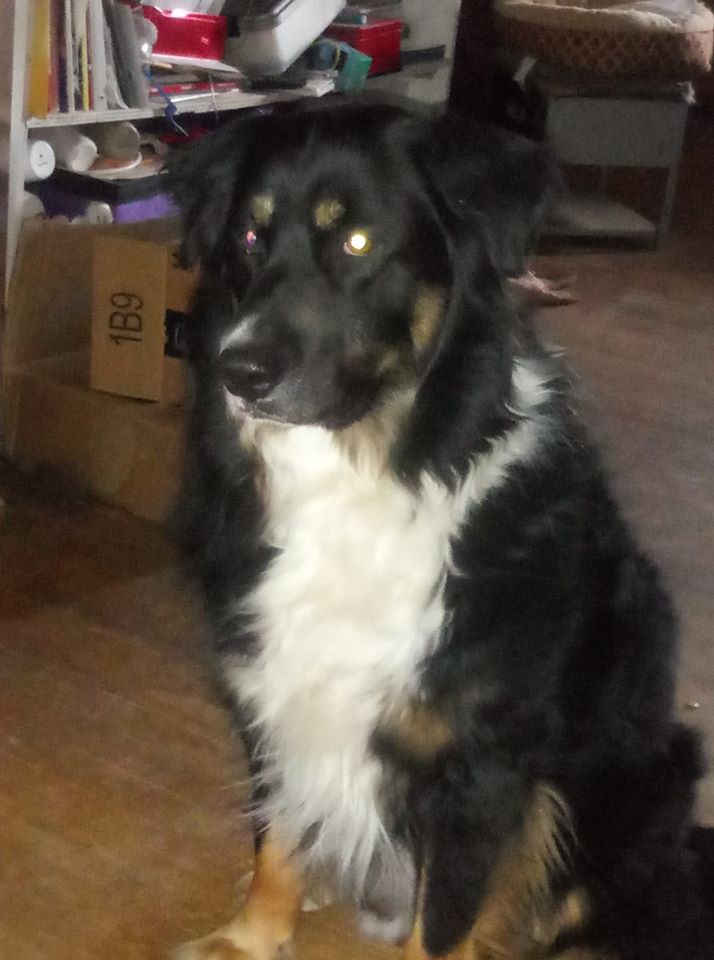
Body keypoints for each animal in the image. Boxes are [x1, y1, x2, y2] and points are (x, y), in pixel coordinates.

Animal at [165, 99, 708, 960]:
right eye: (249, 237)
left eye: (357, 242)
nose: (238, 371)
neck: (370, 468)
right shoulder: (276, 692)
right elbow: (276, 832)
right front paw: (253, 936)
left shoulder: (477, 764)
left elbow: (446, 917)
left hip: (632, 785)